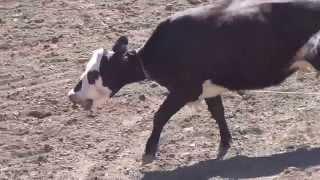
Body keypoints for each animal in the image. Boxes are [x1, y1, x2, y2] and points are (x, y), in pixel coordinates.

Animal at [68, 0, 320, 163]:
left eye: (93, 74)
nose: (72, 95)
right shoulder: (208, 89)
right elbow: (218, 113)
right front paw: (225, 143)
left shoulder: (184, 90)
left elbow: (159, 116)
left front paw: (149, 151)